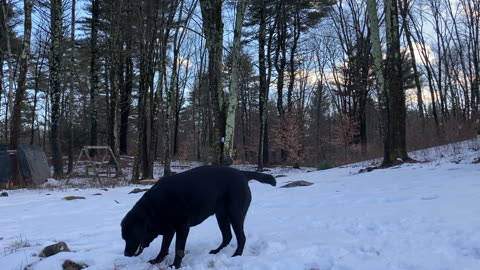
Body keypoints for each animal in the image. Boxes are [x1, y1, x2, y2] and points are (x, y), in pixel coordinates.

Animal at [122, 165, 276, 268]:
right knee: (227, 236)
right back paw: (216, 251)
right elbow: (164, 248)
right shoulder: (169, 230)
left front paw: (175, 266)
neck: (153, 208)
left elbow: (178, 249)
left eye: (131, 236)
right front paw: (156, 260)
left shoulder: (182, 228)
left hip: (235, 214)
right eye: (124, 238)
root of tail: (242, 173)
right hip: (221, 216)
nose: (126, 254)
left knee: (241, 238)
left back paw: (236, 256)